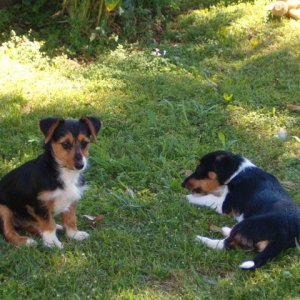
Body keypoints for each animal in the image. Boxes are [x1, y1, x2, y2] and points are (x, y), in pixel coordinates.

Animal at [0, 116, 101, 248]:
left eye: (85, 143)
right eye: (65, 144)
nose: (80, 165)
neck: (64, 172)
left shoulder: (71, 200)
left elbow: (70, 220)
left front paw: (74, 235)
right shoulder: (41, 204)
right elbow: (48, 224)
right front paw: (53, 243)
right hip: (3, 209)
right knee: (9, 232)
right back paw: (26, 241)